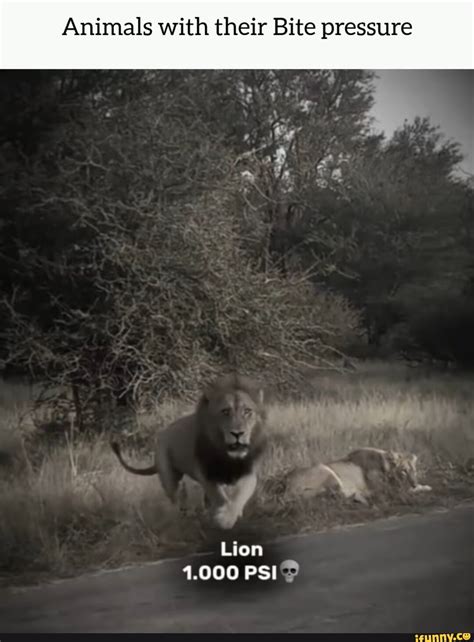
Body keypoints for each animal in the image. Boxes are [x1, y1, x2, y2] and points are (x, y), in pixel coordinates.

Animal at [111, 374, 267, 530]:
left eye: (247, 411)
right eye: (225, 411)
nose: (238, 433)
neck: (227, 455)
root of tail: (161, 434)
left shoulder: (248, 473)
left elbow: (240, 495)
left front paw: (229, 516)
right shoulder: (207, 475)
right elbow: (220, 497)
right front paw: (223, 519)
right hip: (169, 478)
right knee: (177, 499)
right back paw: (184, 517)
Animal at [283, 447, 431, 505]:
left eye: (414, 471)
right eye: (404, 471)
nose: (414, 483)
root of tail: (287, 486)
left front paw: (421, 485)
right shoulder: (387, 489)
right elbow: (409, 490)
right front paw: (424, 487)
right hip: (327, 471)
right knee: (340, 497)